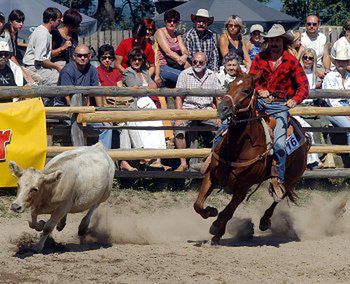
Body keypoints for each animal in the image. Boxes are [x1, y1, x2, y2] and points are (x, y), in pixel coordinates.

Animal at [194, 72, 308, 244]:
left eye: (246, 90)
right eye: (228, 85)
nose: (222, 108)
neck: (238, 147)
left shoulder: (243, 187)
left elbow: (227, 212)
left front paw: (216, 228)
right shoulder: (211, 176)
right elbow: (198, 205)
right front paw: (211, 212)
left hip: (292, 178)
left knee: (280, 196)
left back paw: (264, 221)